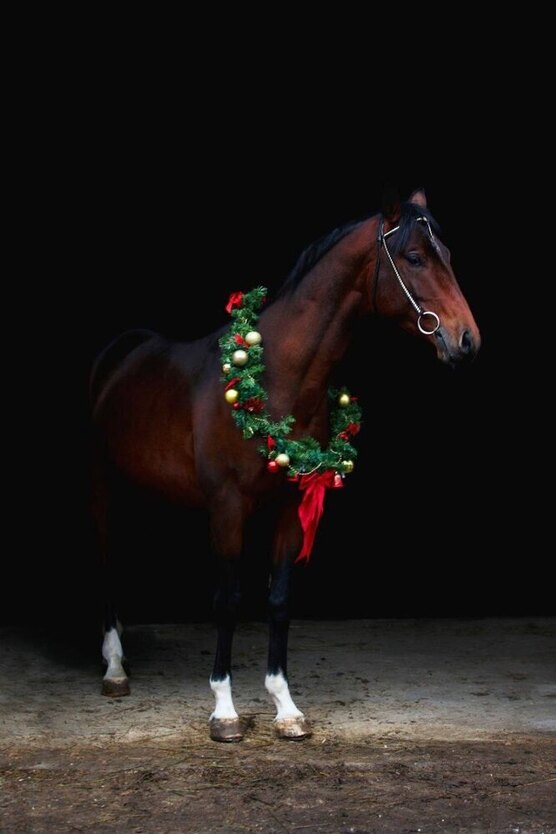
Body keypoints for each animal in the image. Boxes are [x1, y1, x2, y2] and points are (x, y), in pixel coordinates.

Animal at [90, 188, 480, 742]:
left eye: (446, 254)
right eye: (415, 258)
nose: (466, 339)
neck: (274, 376)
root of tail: (123, 350)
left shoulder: (290, 505)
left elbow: (278, 599)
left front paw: (286, 707)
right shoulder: (227, 507)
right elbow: (228, 601)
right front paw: (225, 711)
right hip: (102, 485)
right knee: (105, 562)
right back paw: (115, 668)